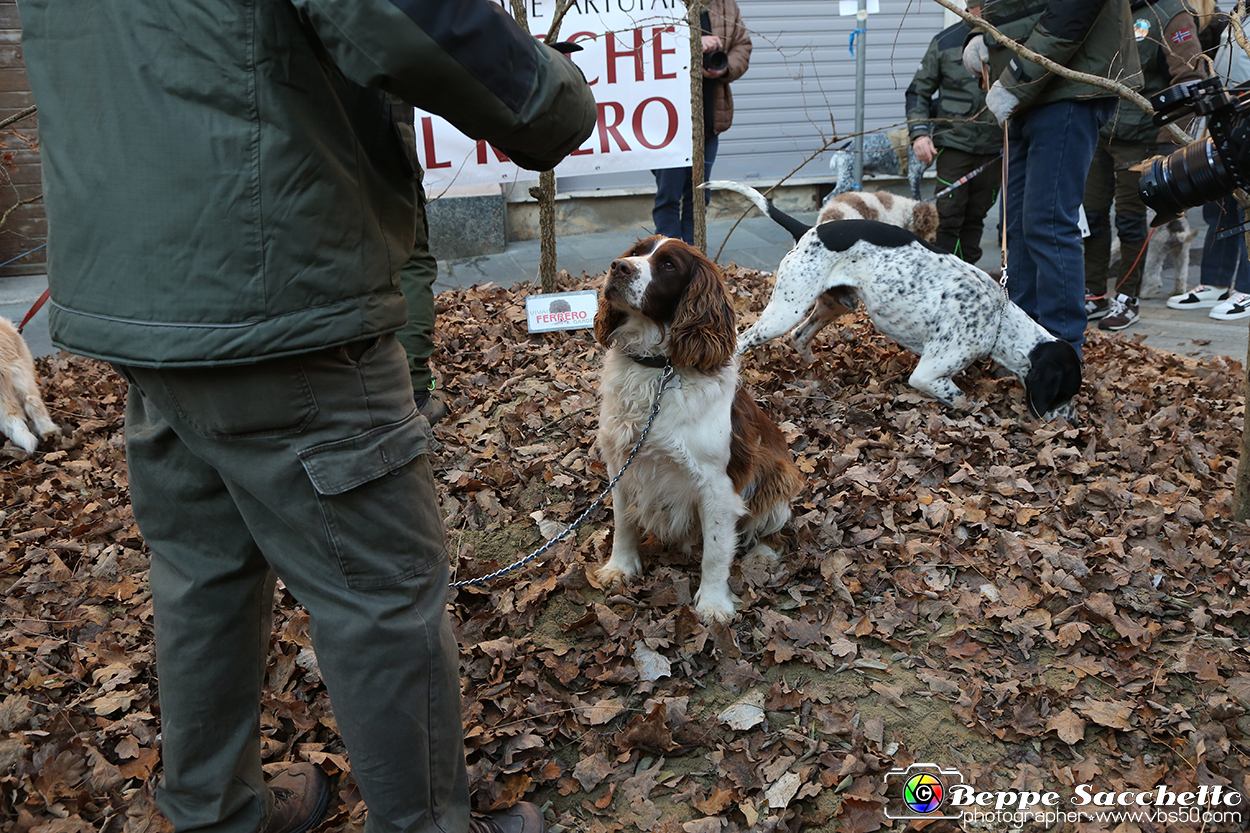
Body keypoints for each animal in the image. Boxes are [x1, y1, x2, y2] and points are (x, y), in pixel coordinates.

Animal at [592, 236, 800, 620]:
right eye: (636, 252)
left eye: (669, 265)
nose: (618, 267)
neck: (658, 369)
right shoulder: (620, 465)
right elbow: (623, 523)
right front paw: (620, 567)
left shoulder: (717, 485)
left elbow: (716, 552)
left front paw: (714, 603)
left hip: (778, 474)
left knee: (773, 528)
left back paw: (763, 553)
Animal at [710, 185, 1080, 425]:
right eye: (1065, 393)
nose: (1074, 424)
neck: (997, 319)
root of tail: (809, 230)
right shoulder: (928, 374)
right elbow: (964, 400)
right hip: (786, 311)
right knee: (744, 341)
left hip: (837, 305)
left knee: (800, 336)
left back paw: (817, 374)